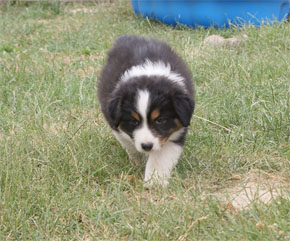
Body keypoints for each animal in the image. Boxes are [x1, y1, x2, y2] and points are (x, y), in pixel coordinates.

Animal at [97, 34, 195, 186]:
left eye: (160, 120)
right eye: (133, 121)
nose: (146, 146)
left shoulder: (176, 130)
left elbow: (160, 157)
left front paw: (154, 181)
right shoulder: (116, 125)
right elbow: (130, 144)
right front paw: (140, 161)